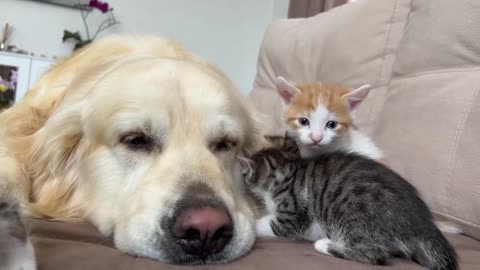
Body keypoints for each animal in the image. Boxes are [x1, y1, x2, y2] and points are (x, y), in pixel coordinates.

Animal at [238, 149, 456, 268]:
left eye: (246, 174)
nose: (242, 175)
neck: (285, 171)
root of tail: (421, 223)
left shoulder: (292, 216)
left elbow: (271, 224)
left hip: (353, 215)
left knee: (375, 255)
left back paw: (325, 245)